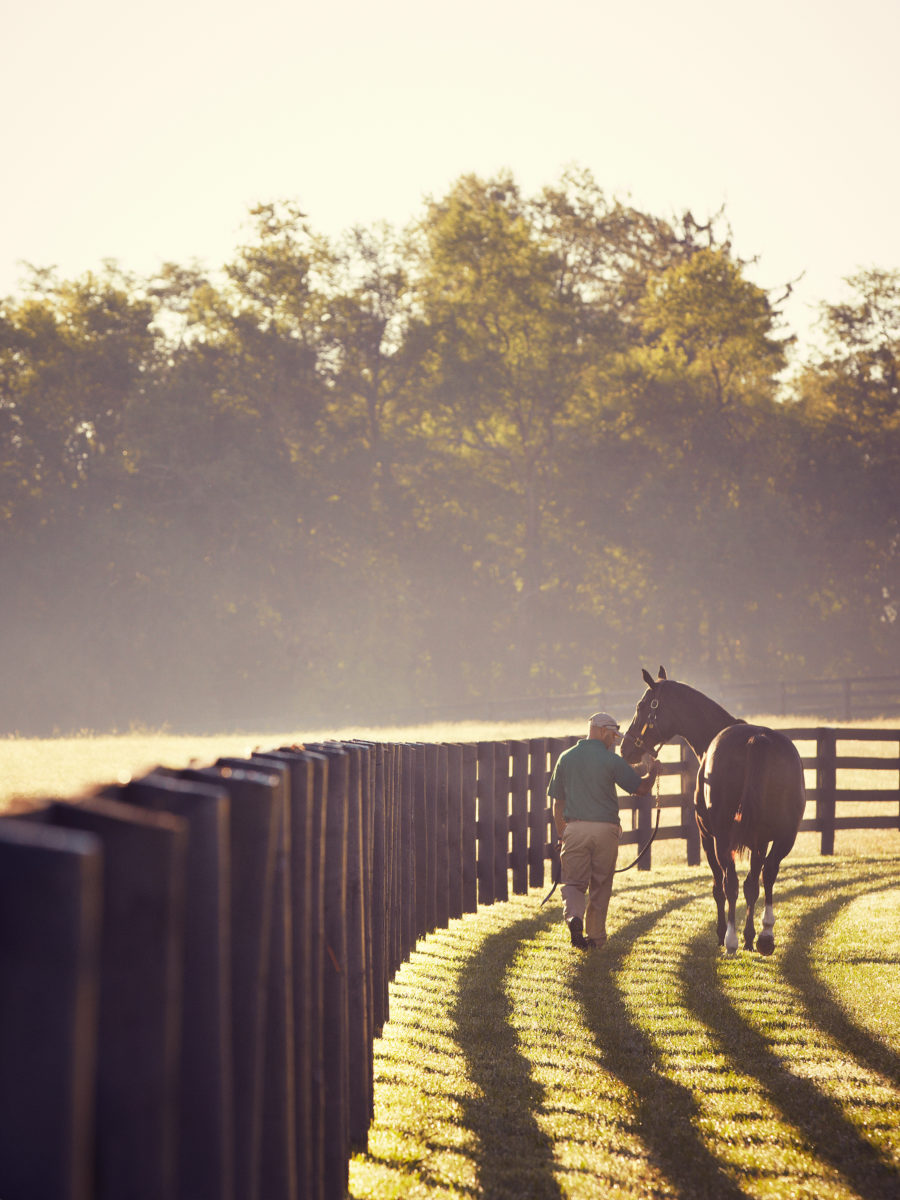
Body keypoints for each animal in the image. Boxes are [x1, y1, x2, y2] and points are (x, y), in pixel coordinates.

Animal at [624, 667, 806, 955]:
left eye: (642, 706)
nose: (626, 748)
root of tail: (756, 740)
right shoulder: (760, 841)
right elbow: (752, 885)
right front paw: (749, 936)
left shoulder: (706, 837)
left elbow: (720, 887)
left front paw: (724, 933)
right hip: (785, 837)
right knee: (768, 875)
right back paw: (766, 935)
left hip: (723, 837)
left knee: (730, 883)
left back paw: (730, 940)